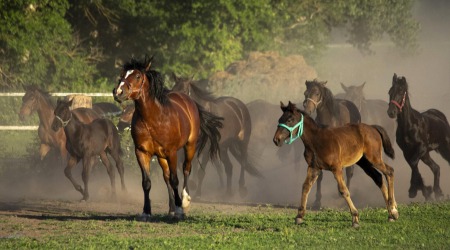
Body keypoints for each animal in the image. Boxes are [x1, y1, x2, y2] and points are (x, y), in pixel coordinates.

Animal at [113, 56, 222, 219]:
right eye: (122, 74)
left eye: (138, 76)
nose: (118, 92)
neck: (153, 119)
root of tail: (188, 100)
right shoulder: (142, 152)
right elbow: (147, 182)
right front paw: (146, 211)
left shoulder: (172, 152)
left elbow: (175, 179)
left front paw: (180, 208)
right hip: (160, 156)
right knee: (166, 176)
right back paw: (171, 208)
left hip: (189, 146)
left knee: (186, 169)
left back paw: (184, 202)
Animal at [274, 100, 398, 228]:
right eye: (280, 120)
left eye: (289, 119)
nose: (276, 140)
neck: (316, 141)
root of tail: (373, 127)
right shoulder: (314, 168)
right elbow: (305, 187)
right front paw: (299, 216)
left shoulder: (336, 168)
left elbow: (344, 190)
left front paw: (355, 218)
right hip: (364, 162)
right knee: (378, 177)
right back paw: (391, 214)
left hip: (374, 158)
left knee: (389, 171)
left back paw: (393, 209)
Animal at [302, 79, 362, 208]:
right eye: (305, 93)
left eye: (317, 93)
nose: (307, 111)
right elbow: (319, 176)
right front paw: (317, 201)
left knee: (349, 171)